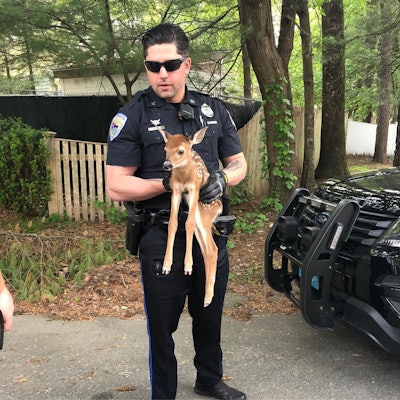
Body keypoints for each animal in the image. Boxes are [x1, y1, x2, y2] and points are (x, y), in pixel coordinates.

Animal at [159, 127, 222, 306]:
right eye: (165, 149)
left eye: (181, 151)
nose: (166, 165)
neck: (184, 176)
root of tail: (220, 208)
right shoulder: (176, 190)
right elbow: (172, 223)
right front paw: (166, 264)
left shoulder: (194, 189)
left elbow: (188, 223)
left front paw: (187, 266)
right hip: (202, 224)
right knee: (207, 250)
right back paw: (207, 297)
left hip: (204, 214)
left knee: (213, 249)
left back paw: (208, 297)